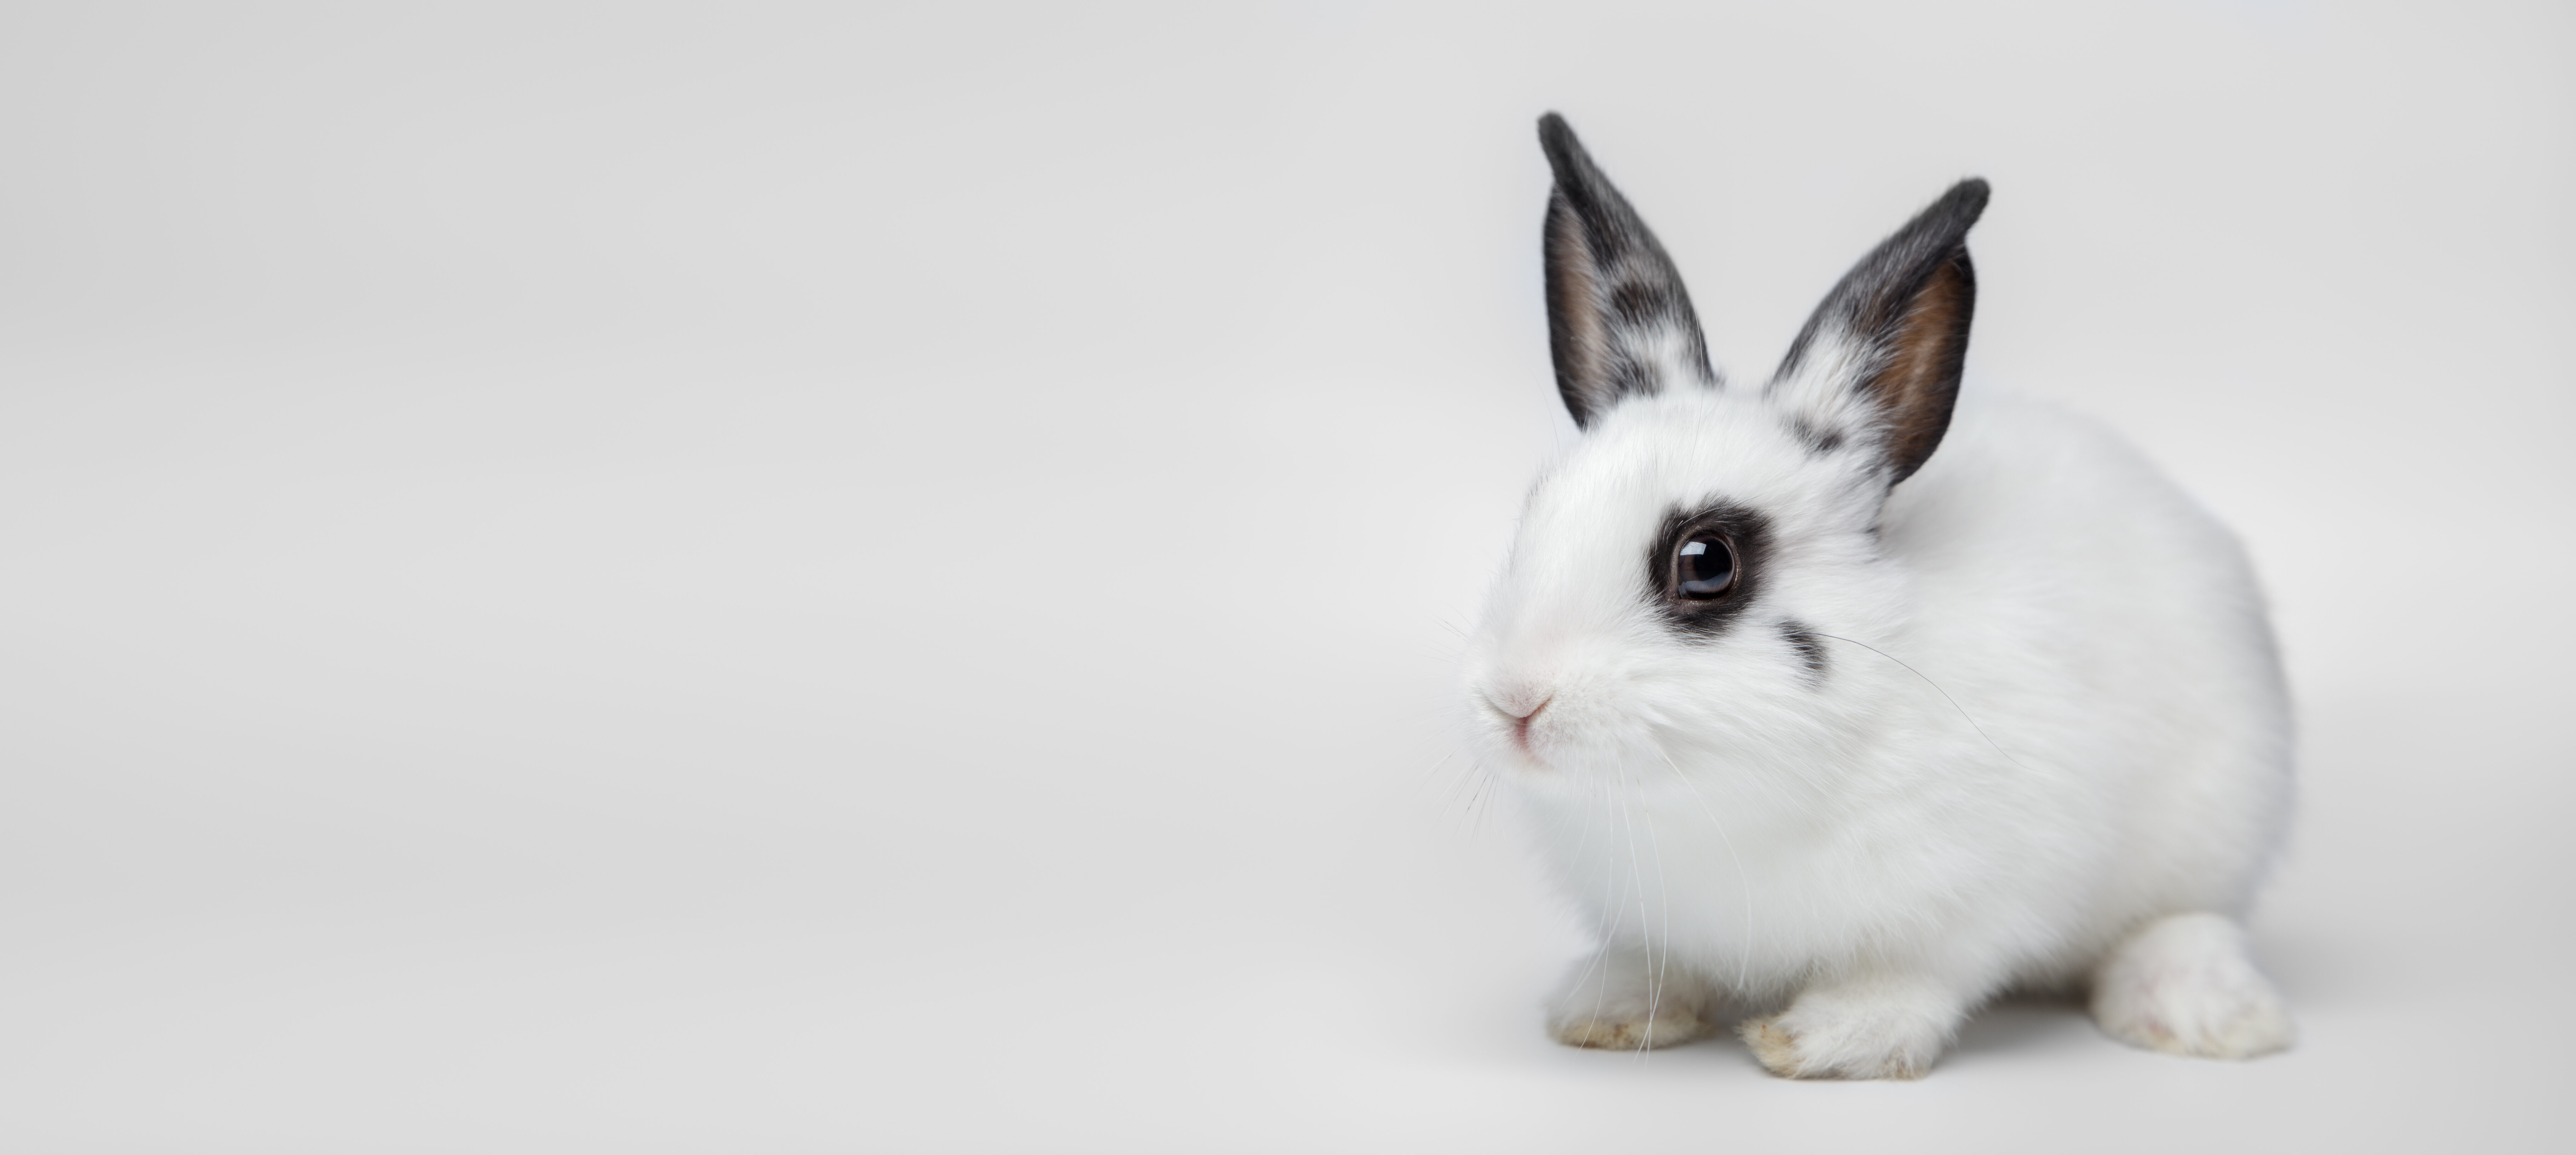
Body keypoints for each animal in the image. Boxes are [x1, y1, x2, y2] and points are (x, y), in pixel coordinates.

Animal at [1460, 114, 2297, 1079]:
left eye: (1706, 563)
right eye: (1535, 511)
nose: (1516, 700)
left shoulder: (1977, 900)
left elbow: (1912, 977)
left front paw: (1825, 1038)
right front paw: (1609, 1008)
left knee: (2184, 919)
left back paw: (2205, 1013)